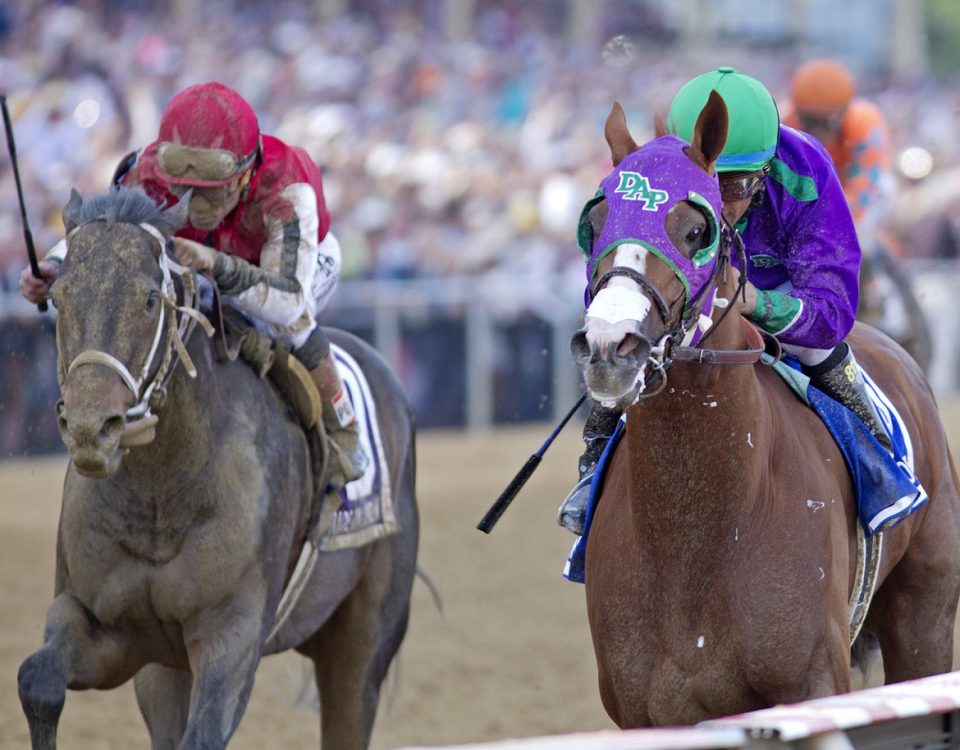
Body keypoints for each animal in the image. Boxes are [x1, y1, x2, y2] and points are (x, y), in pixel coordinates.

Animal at [15, 189, 420, 750]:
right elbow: (38, 679)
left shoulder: (234, 627)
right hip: (165, 670)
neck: (159, 496)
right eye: (59, 298)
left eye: (149, 299)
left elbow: (205, 733)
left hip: (362, 638)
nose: (91, 429)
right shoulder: (113, 629)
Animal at [568, 94, 960, 728]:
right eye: (597, 223)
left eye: (695, 230)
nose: (609, 345)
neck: (697, 533)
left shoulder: (814, 683)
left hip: (924, 618)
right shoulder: (646, 712)